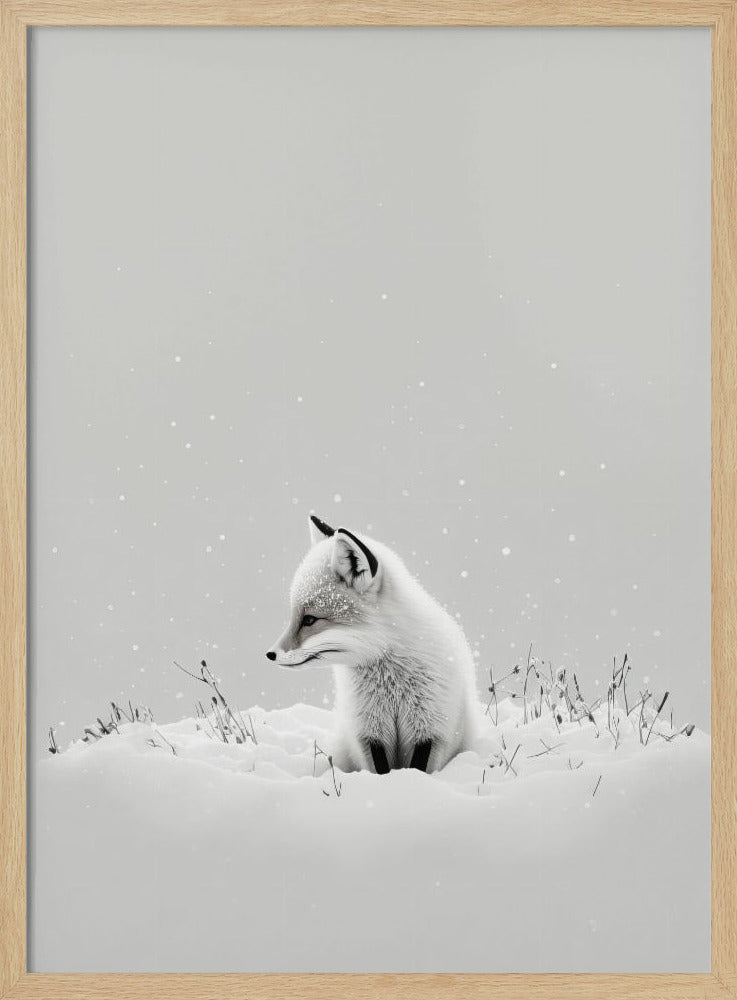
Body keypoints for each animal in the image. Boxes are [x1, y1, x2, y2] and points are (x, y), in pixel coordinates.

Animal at [266, 515, 479, 774]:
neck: (391, 681)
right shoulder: (369, 731)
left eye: (309, 620)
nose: (270, 654)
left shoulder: (430, 727)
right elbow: (380, 769)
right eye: (295, 616)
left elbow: (417, 768)